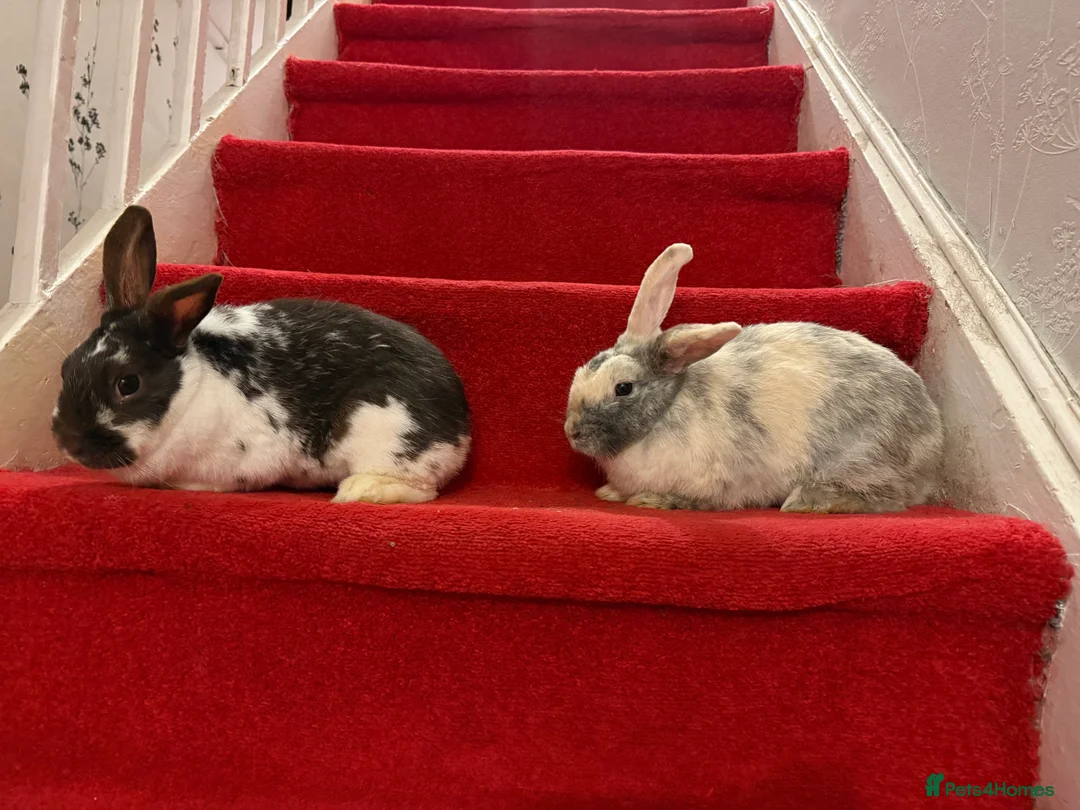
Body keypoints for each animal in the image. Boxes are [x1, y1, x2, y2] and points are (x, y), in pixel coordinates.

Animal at [51, 205, 471, 505]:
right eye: (65, 367)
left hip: (383, 435)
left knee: (419, 488)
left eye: (128, 383)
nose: (69, 442)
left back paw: (359, 491)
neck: (190, 394)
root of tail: (462, 426)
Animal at [563, 243, 944, 513]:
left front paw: (650, 500)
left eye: (623, 388)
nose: (573, 432)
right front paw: (609, 492)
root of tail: (933, 438)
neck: (664, 413)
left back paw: (806, 502)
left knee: (887, 499)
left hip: (863, 460)